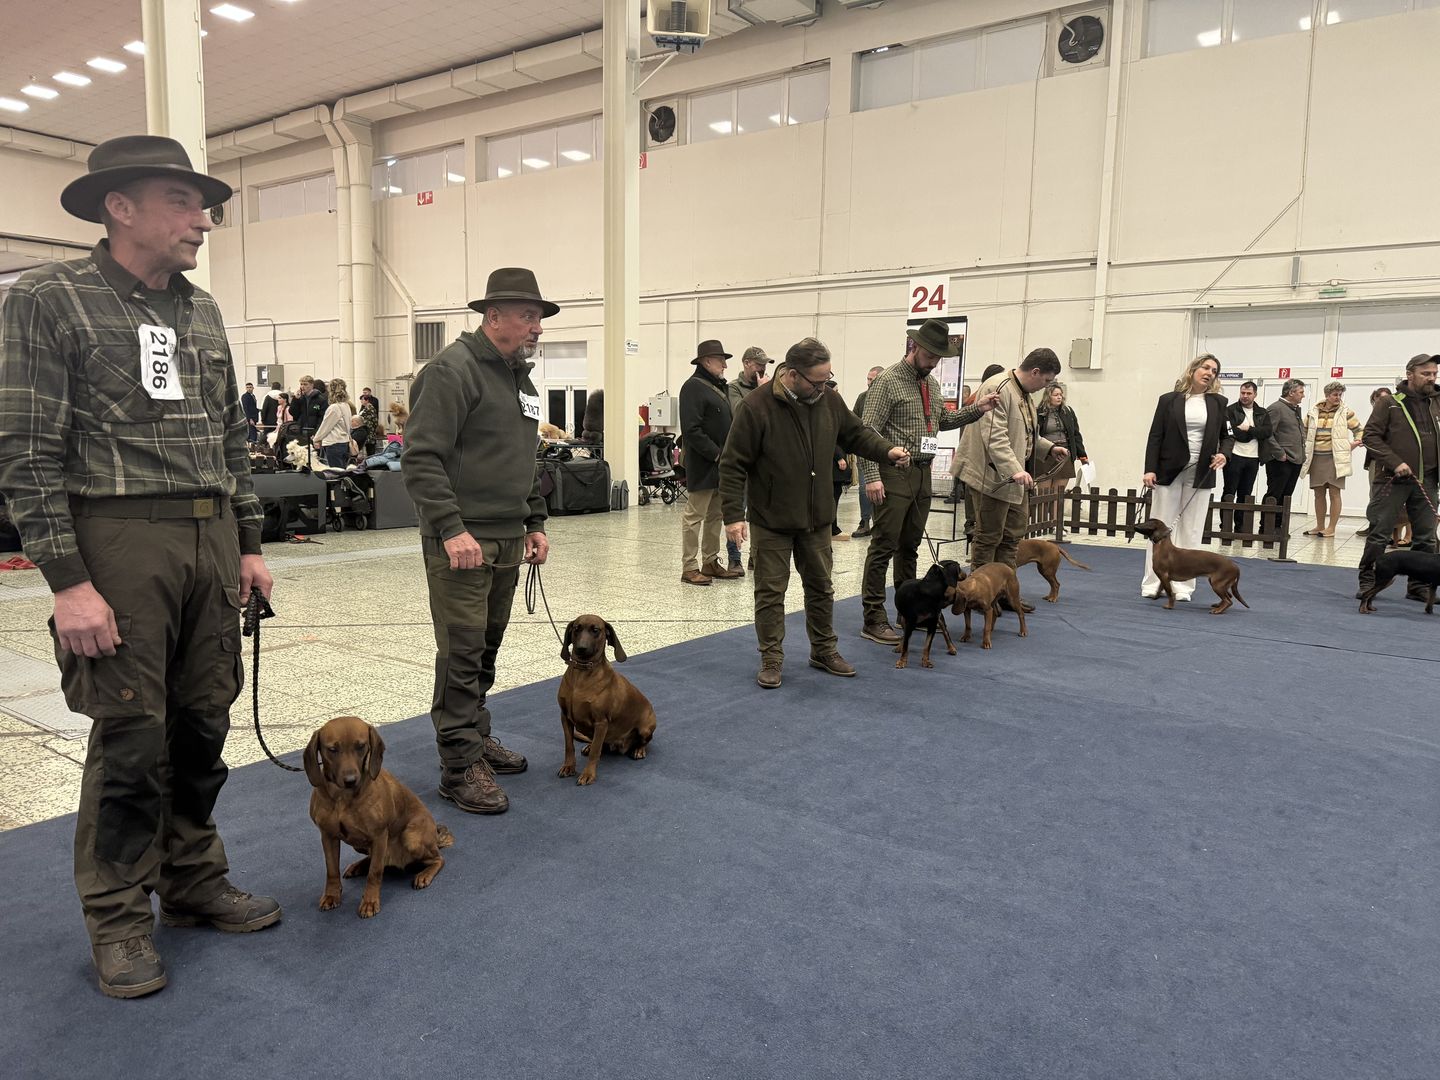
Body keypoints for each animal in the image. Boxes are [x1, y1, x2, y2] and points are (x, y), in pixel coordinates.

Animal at [304, 716, 453, 918]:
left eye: (361, 746)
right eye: (332, 749)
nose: (351, 781)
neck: (343, 798)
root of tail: (435, 838)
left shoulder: (379, 836)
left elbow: (374, 873)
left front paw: (370, 901)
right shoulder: (328, 836)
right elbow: (332, 870)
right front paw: (331, 895)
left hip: (411, 838)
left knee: (438, 859)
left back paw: (424, 875)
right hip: (361, 844)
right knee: (375, 858)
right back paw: (359, 866)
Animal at [558, 615, 657, 785]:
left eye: (596, 630)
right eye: (576, 628)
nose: (581, 648)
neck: (582, 675)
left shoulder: (601, 722)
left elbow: (595, 752)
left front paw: (588, 774)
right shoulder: (565, 717)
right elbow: (569, 746)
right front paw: (568, 767)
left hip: (645, 728)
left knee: (643, 742)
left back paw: (638, 750)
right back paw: (589, 746)